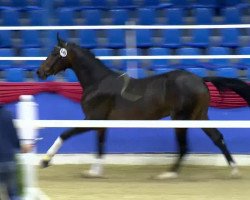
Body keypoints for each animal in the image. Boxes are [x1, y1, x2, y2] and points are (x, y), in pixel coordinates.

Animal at [37, 35, 250, 179]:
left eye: (54, 53)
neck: (97, 83)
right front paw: (94, 172)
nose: (40, 72)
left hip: (181, 119)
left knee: (184, 147)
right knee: (217, 138)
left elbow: (65, 134)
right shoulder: (101, 122)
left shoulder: (92, 118)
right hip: (199, 116)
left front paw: (45, 161)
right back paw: (234, 170)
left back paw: (168, 174)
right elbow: (100, 146)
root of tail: (199, 79)